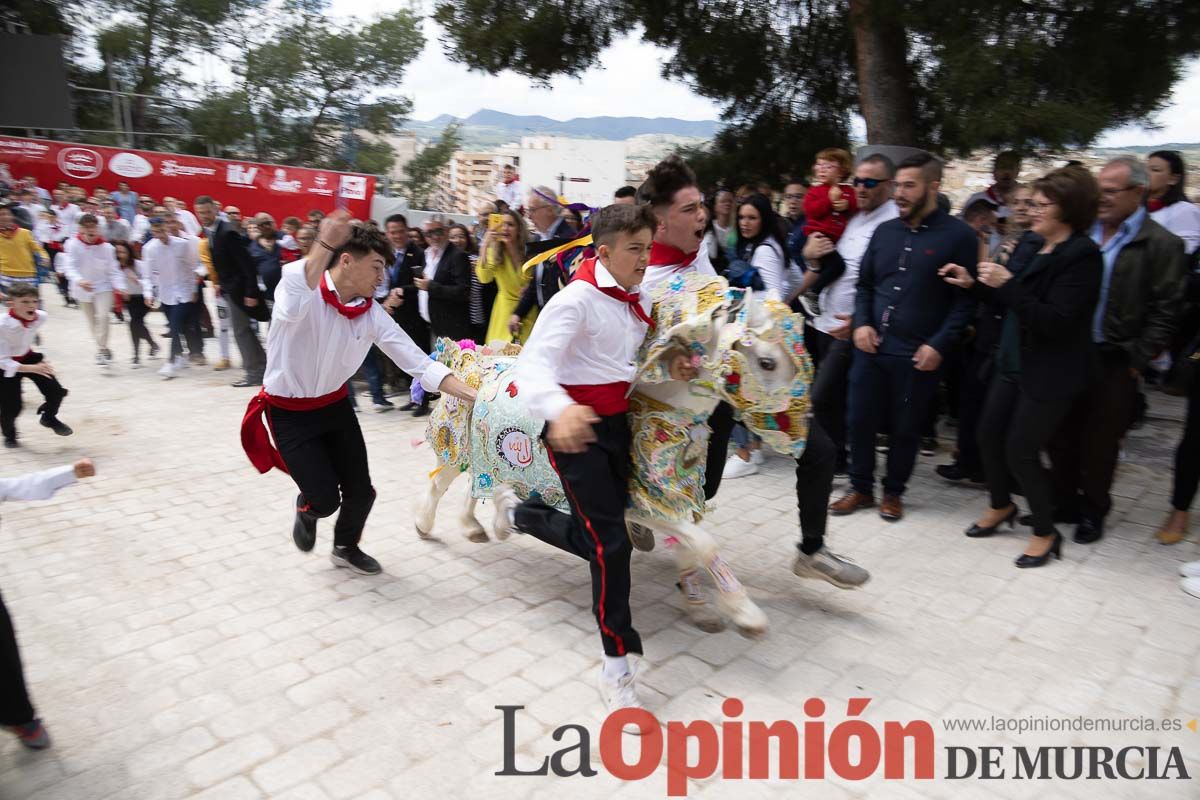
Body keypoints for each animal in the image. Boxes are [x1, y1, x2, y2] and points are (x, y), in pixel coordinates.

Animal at [412, 275, 816, 638]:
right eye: (766, 362)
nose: (805, 424)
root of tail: (474, 357)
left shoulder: (675, 496)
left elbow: (692, 546)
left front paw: (702, 608)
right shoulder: (639, 502)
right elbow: (704, 544)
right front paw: (747, 613)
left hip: (488, 456)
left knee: (480, 485)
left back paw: (478, 524)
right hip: (460, 446)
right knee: (441, 482)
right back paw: (427, 525)